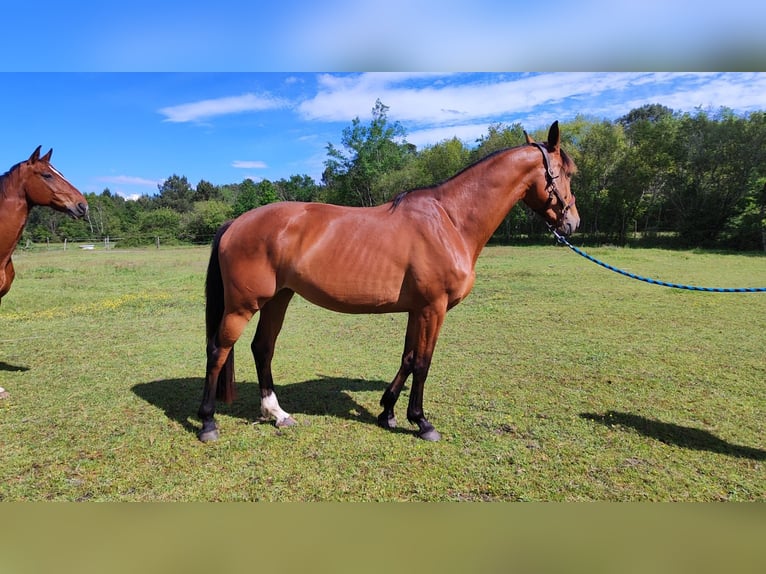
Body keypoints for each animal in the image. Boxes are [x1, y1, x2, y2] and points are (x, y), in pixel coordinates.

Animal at [201, 121, 580, 444]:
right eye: (566, 173)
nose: (573, 222)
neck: (450, 220)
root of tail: (236, 222)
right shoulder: (433, 308)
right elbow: (424, 362)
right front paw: (422, 422)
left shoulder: (418, 309)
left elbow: (408, 358)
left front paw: (388, 412)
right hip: (242, 306)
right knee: (218, 350)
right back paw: (208, 423)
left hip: (278, 298)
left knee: (262, 348)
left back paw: (277, 413)